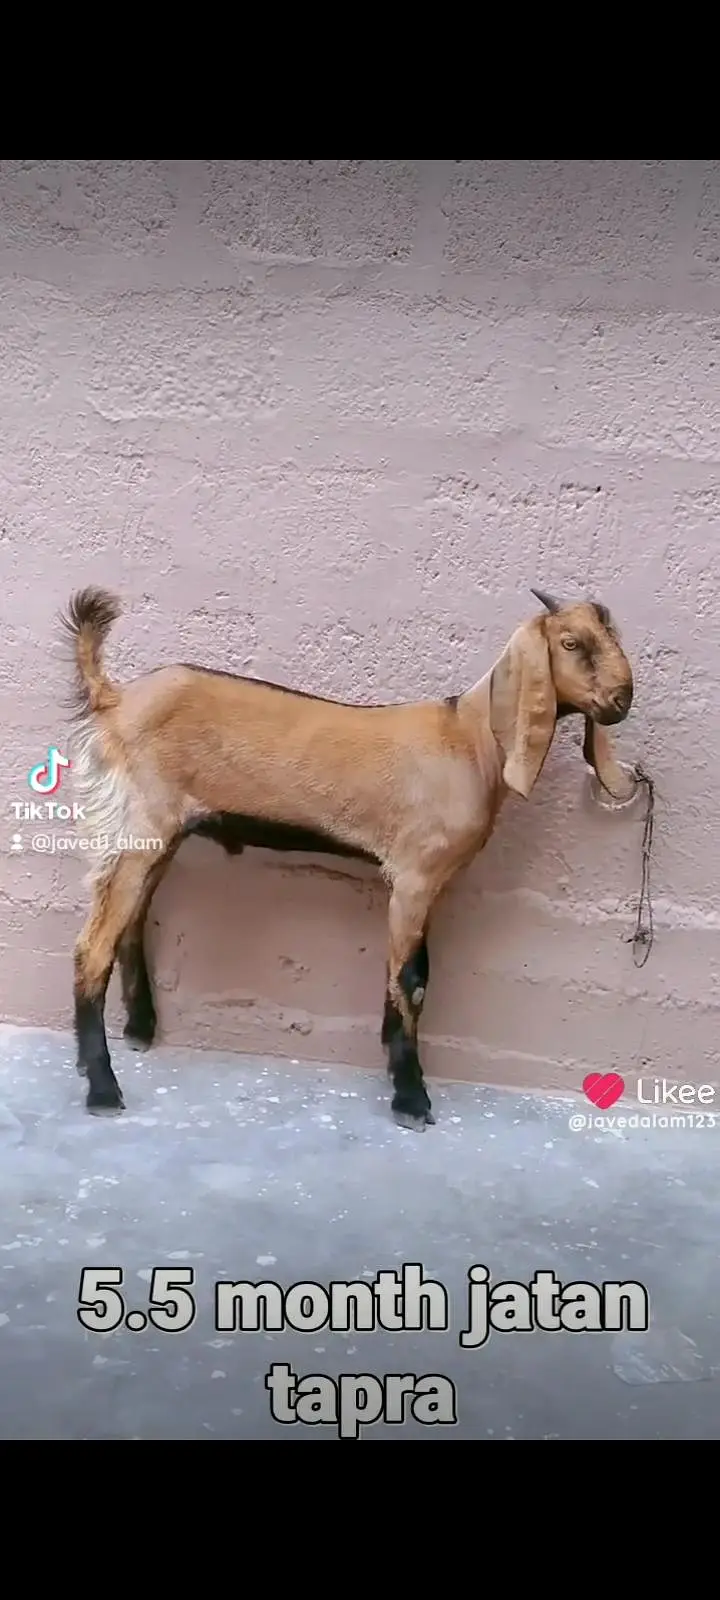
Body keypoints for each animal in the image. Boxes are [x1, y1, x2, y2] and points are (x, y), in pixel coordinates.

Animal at [60, 586, 635, 1130]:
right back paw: (103, 1089)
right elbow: (410, 980)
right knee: (93, 946)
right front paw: (410, 1096)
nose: (622, 698)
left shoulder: (425, 883)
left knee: (129, 925)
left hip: (157, 836)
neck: (472, 740)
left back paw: (136, 1032)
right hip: (137, 825)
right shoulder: (414, 874)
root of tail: (114, 699)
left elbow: (418, 974)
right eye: (571, 644)